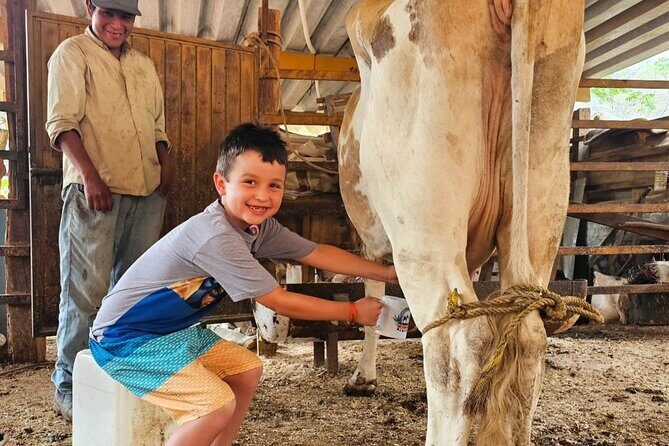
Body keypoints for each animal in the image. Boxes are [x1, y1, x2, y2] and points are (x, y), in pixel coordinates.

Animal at [338, 0, 586, 444]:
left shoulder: (370, 241)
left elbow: (373, 303)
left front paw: (362, 378)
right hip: (543, 189)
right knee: (528, 336)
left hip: (423, 221)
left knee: (458, 344)